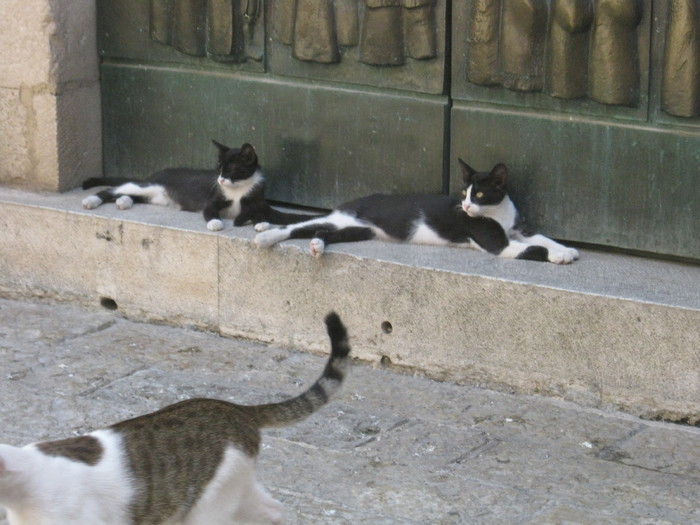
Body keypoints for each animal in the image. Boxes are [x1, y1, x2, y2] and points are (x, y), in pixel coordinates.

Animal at [256, 159, 580, 266]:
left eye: (480, 193)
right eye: (464, 193)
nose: (465, 206)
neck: (496, 212)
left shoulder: (518, 229)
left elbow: (542, 238)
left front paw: (567, 249)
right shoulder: (496, 242)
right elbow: (534, 248)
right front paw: (559, 257)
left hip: (360, 229)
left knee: (321, 231)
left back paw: (317, 245)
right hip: (345, 219)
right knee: (297, 227)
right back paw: (264, 234)